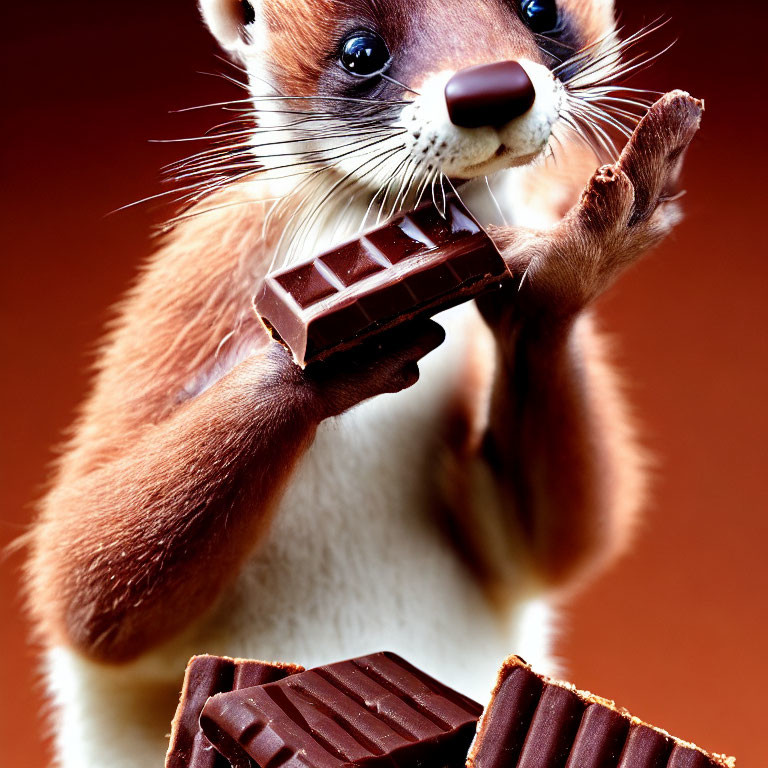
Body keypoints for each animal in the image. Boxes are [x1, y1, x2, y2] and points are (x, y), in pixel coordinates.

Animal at [25, 1, 704, 768]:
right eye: (360, 51)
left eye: (538, 10)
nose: (491, 87)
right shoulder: (202, 277)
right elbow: (82, 571)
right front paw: (331, 358)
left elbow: (564, 541)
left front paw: (575, 259)